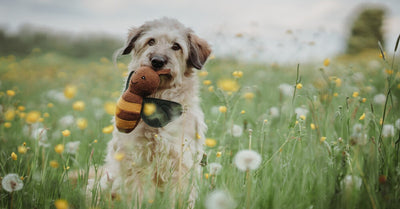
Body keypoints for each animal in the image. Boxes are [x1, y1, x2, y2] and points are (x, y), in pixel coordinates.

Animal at [88, 17, 211, 207]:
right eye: (151, 41)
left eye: (176, 46)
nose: (157, 61)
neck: (157, 103)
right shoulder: (136, 161)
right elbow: (137, 194)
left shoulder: (180, 161)